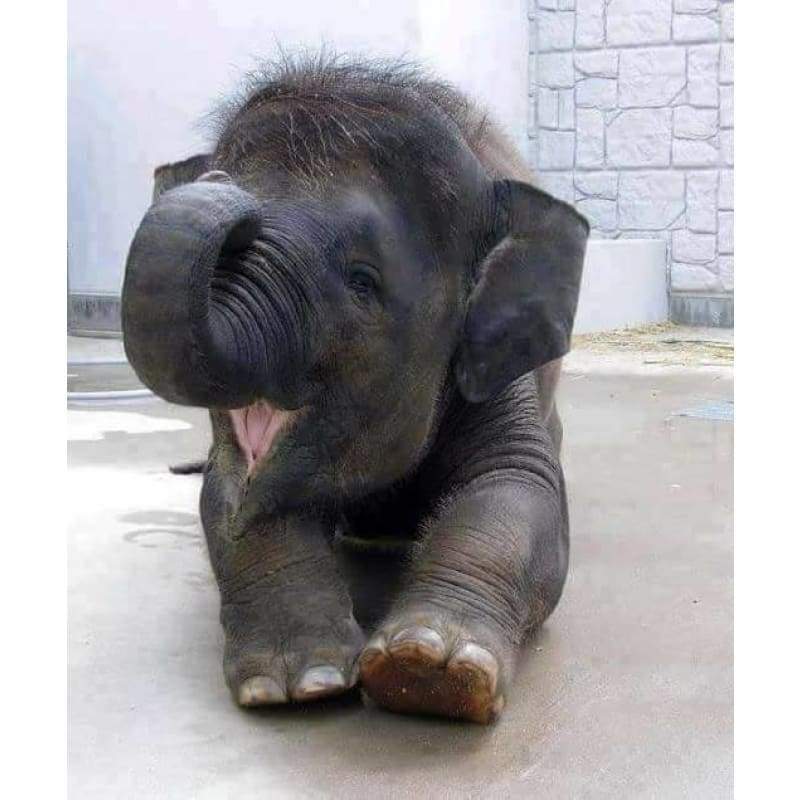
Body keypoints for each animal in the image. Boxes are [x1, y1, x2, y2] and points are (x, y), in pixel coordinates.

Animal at [121, 55, 589, 724]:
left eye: (362, 281)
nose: (219, 182)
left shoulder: (493, 369)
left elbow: (517, 487)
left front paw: (430, 668)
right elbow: (230, 495)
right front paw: (300, 681)